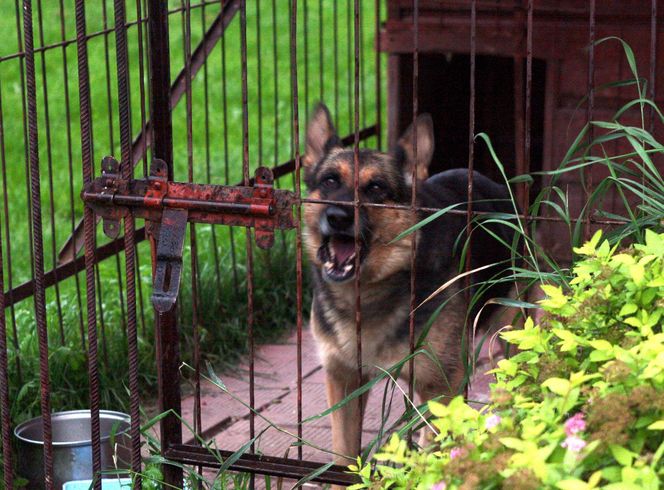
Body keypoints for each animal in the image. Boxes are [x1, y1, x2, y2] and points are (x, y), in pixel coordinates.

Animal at [302, 102, 520, 464]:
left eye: (376, 188)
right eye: (330, 181)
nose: (337, 217)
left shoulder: (442, 384)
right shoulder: (344, 380)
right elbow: (344, 456)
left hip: (509, 327)